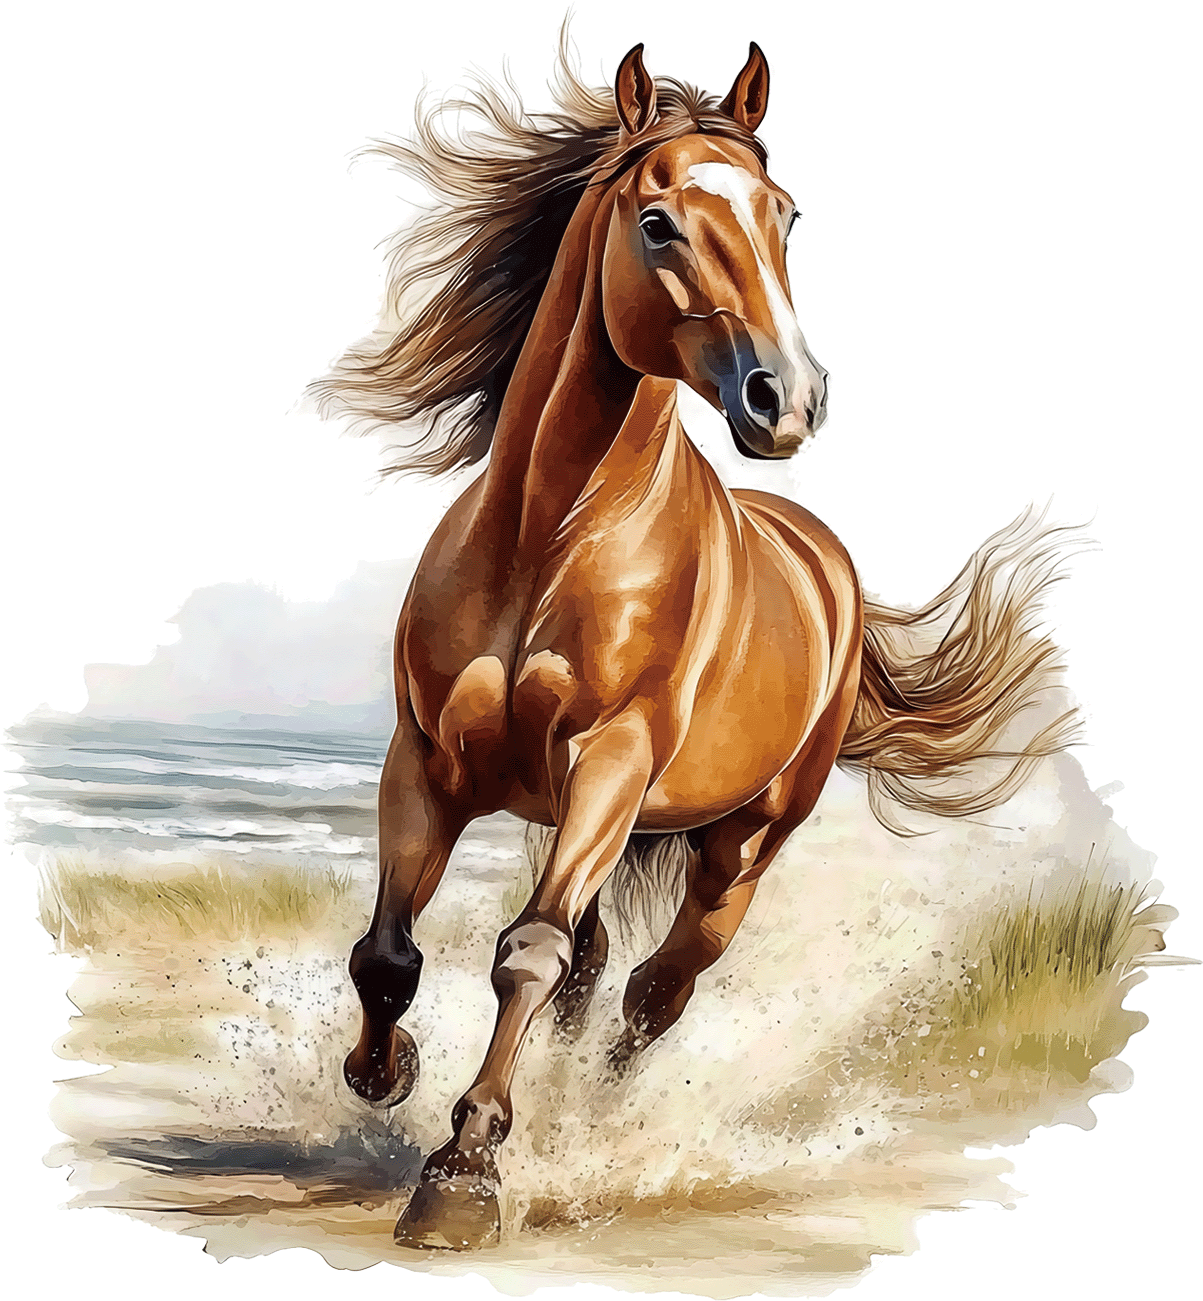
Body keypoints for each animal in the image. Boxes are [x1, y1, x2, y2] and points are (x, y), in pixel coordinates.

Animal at [314, 43, 1077, 1250]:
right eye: (659, 221)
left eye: (786, 215)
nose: (787, 399)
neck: (549, 537)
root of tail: (826, 561)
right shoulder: (426, 761)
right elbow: (389, 952)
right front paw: (386, 1075)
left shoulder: (612, 762)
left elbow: (525, 953)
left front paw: (464, 1172)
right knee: (594, 975)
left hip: (734, 852)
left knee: (650, 997)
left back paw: (594, 1135)